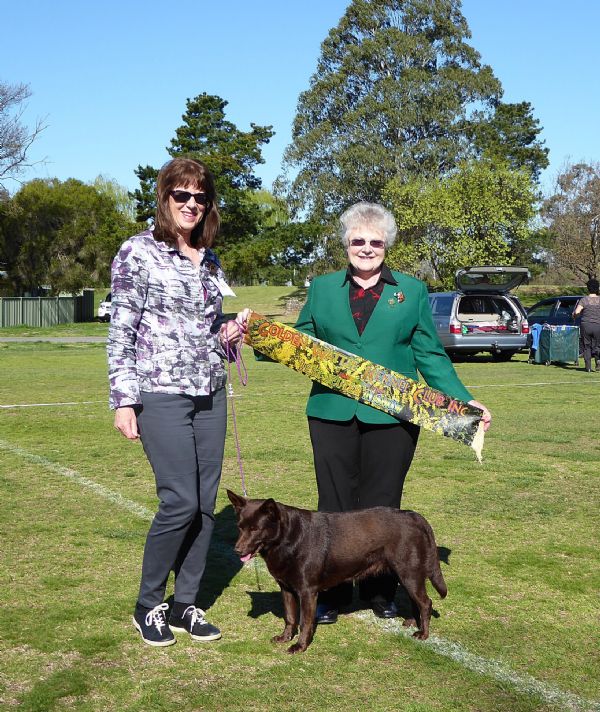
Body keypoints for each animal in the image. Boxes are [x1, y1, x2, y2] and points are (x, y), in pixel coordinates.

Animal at [227, 489, 447, 653]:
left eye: (256, 529)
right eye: (240, 526)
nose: (237, 550)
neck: (288, 538)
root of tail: (413, 516)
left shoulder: (307, 592)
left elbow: (304, 622)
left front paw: (300, 646)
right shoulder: (287, 589)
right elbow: (290, 617)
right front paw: (284, 638)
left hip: (408, 572)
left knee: (426, 602)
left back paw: (423, 634)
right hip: (405, 574)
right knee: (416, 600)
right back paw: (412, 622)